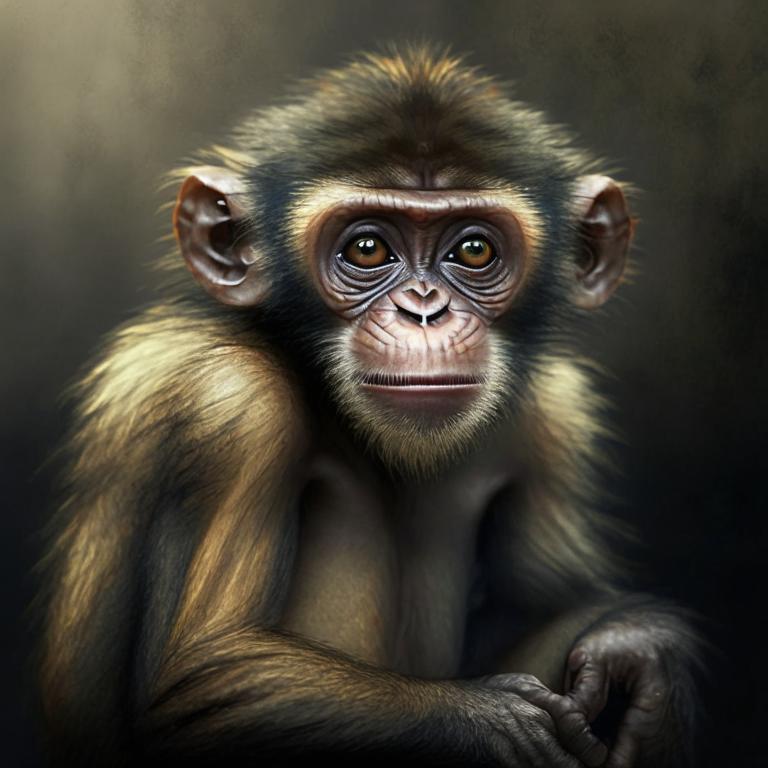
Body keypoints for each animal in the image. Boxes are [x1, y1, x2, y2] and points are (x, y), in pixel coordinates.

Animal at [39, 46, 700, 768]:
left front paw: (639, 650)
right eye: (366, 248)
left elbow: (542, 611)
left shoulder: (557, 417)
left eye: (474, 249)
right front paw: (499, 723)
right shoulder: (223, 404)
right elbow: (202, 673)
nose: (423, 309)